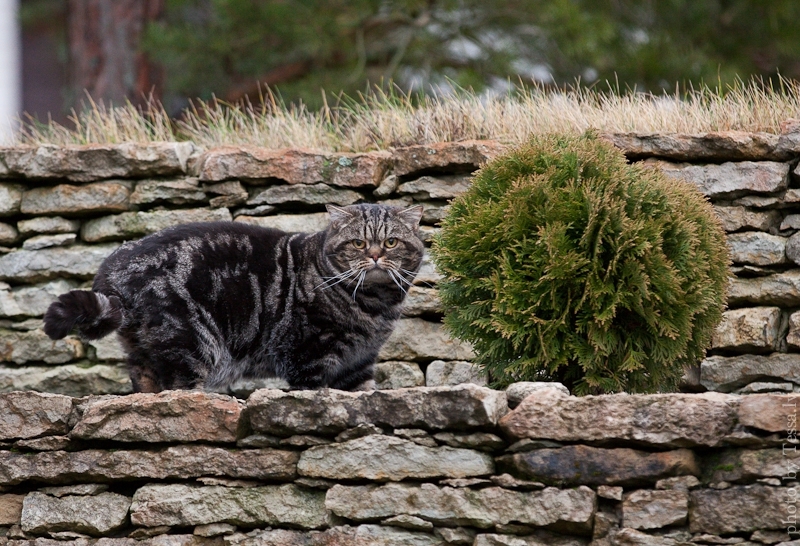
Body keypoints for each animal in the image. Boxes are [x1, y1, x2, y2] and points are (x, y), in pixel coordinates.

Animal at [43, 202, 424, 388]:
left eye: (391, 242)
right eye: (358, 243)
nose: (374, 256)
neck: (374, 305)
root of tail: (111, 267)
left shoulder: (358, 365)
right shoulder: (309, 357)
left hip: (145, 352)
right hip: (191, 345)